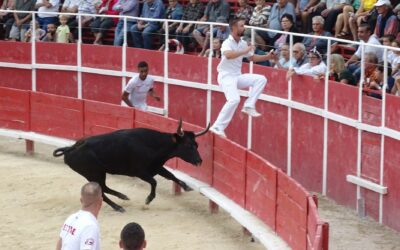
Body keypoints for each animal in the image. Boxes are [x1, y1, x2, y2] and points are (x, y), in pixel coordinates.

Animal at [53, 120, 211, 212]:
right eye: (188, 145)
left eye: (196, 144)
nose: (199, 161)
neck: (152, 144)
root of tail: (70, 149)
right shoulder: (140, 172)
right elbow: (154, 182)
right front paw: (148, 200)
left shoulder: (156, 167)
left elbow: (171, 175)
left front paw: (186, 186)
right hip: (93, 173)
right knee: (102, 192)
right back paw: (118, 207)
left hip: (98, 173)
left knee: (104, 188)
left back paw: (123, 197)